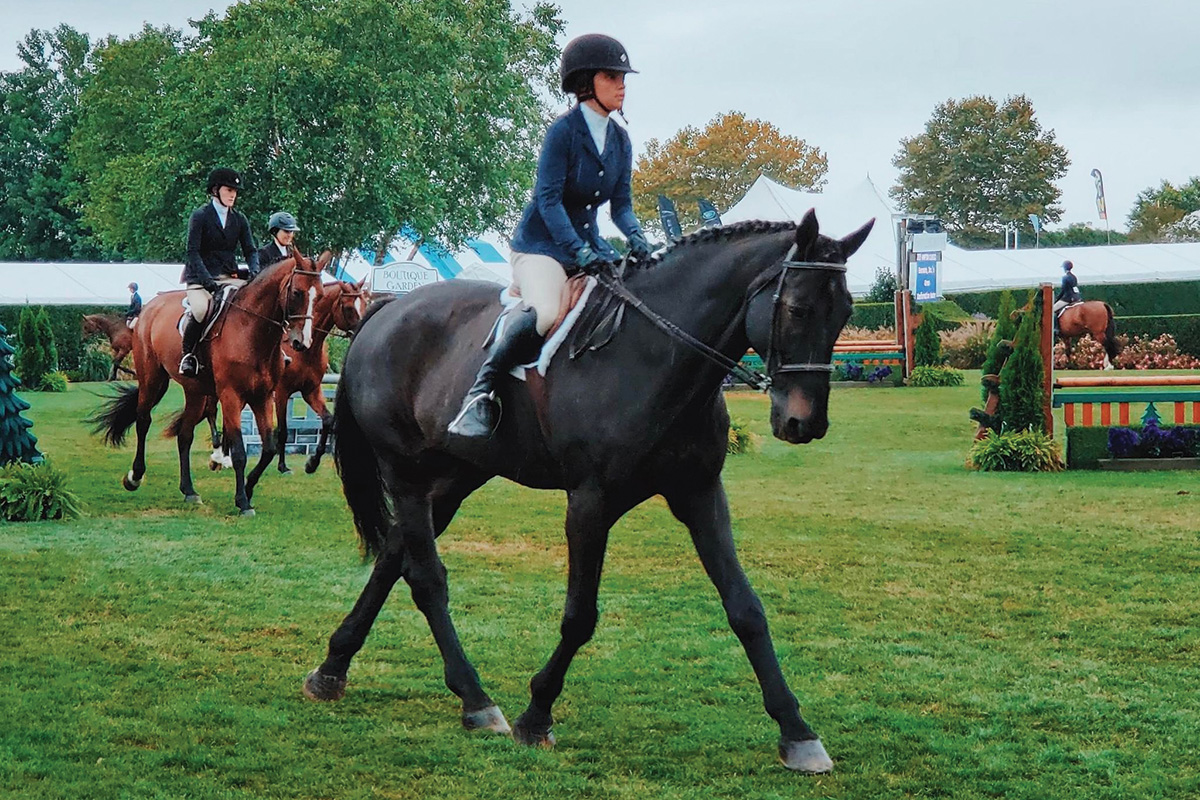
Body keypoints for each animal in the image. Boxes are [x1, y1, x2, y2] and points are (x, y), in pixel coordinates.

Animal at [92, 253, 328, 515]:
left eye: (320, 295)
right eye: (297, 292)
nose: (301, 342)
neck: (252, 330)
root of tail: (150, 307)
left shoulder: (263, 396)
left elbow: (268, 448)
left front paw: (248, 488)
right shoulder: (231, 396)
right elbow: (239, 451)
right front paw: (243, 501)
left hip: (195, 391)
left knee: (184, 434)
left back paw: (189, 490)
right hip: (151, 378)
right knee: (143, 421)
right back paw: (134, 477)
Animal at [302, 209, 873, 772]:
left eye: (845, 311)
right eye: (797, 309)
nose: (804, 423)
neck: (658, 354)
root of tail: (389, 310)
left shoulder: (700, 494)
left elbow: (746, 609)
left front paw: (797, 732)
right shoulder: (589, 502)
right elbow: (580, 616)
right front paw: (536, 716)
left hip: (456, 476)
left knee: (394, 556)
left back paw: (332, 668)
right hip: (406, 474)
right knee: (425, 578)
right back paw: (475, 700)